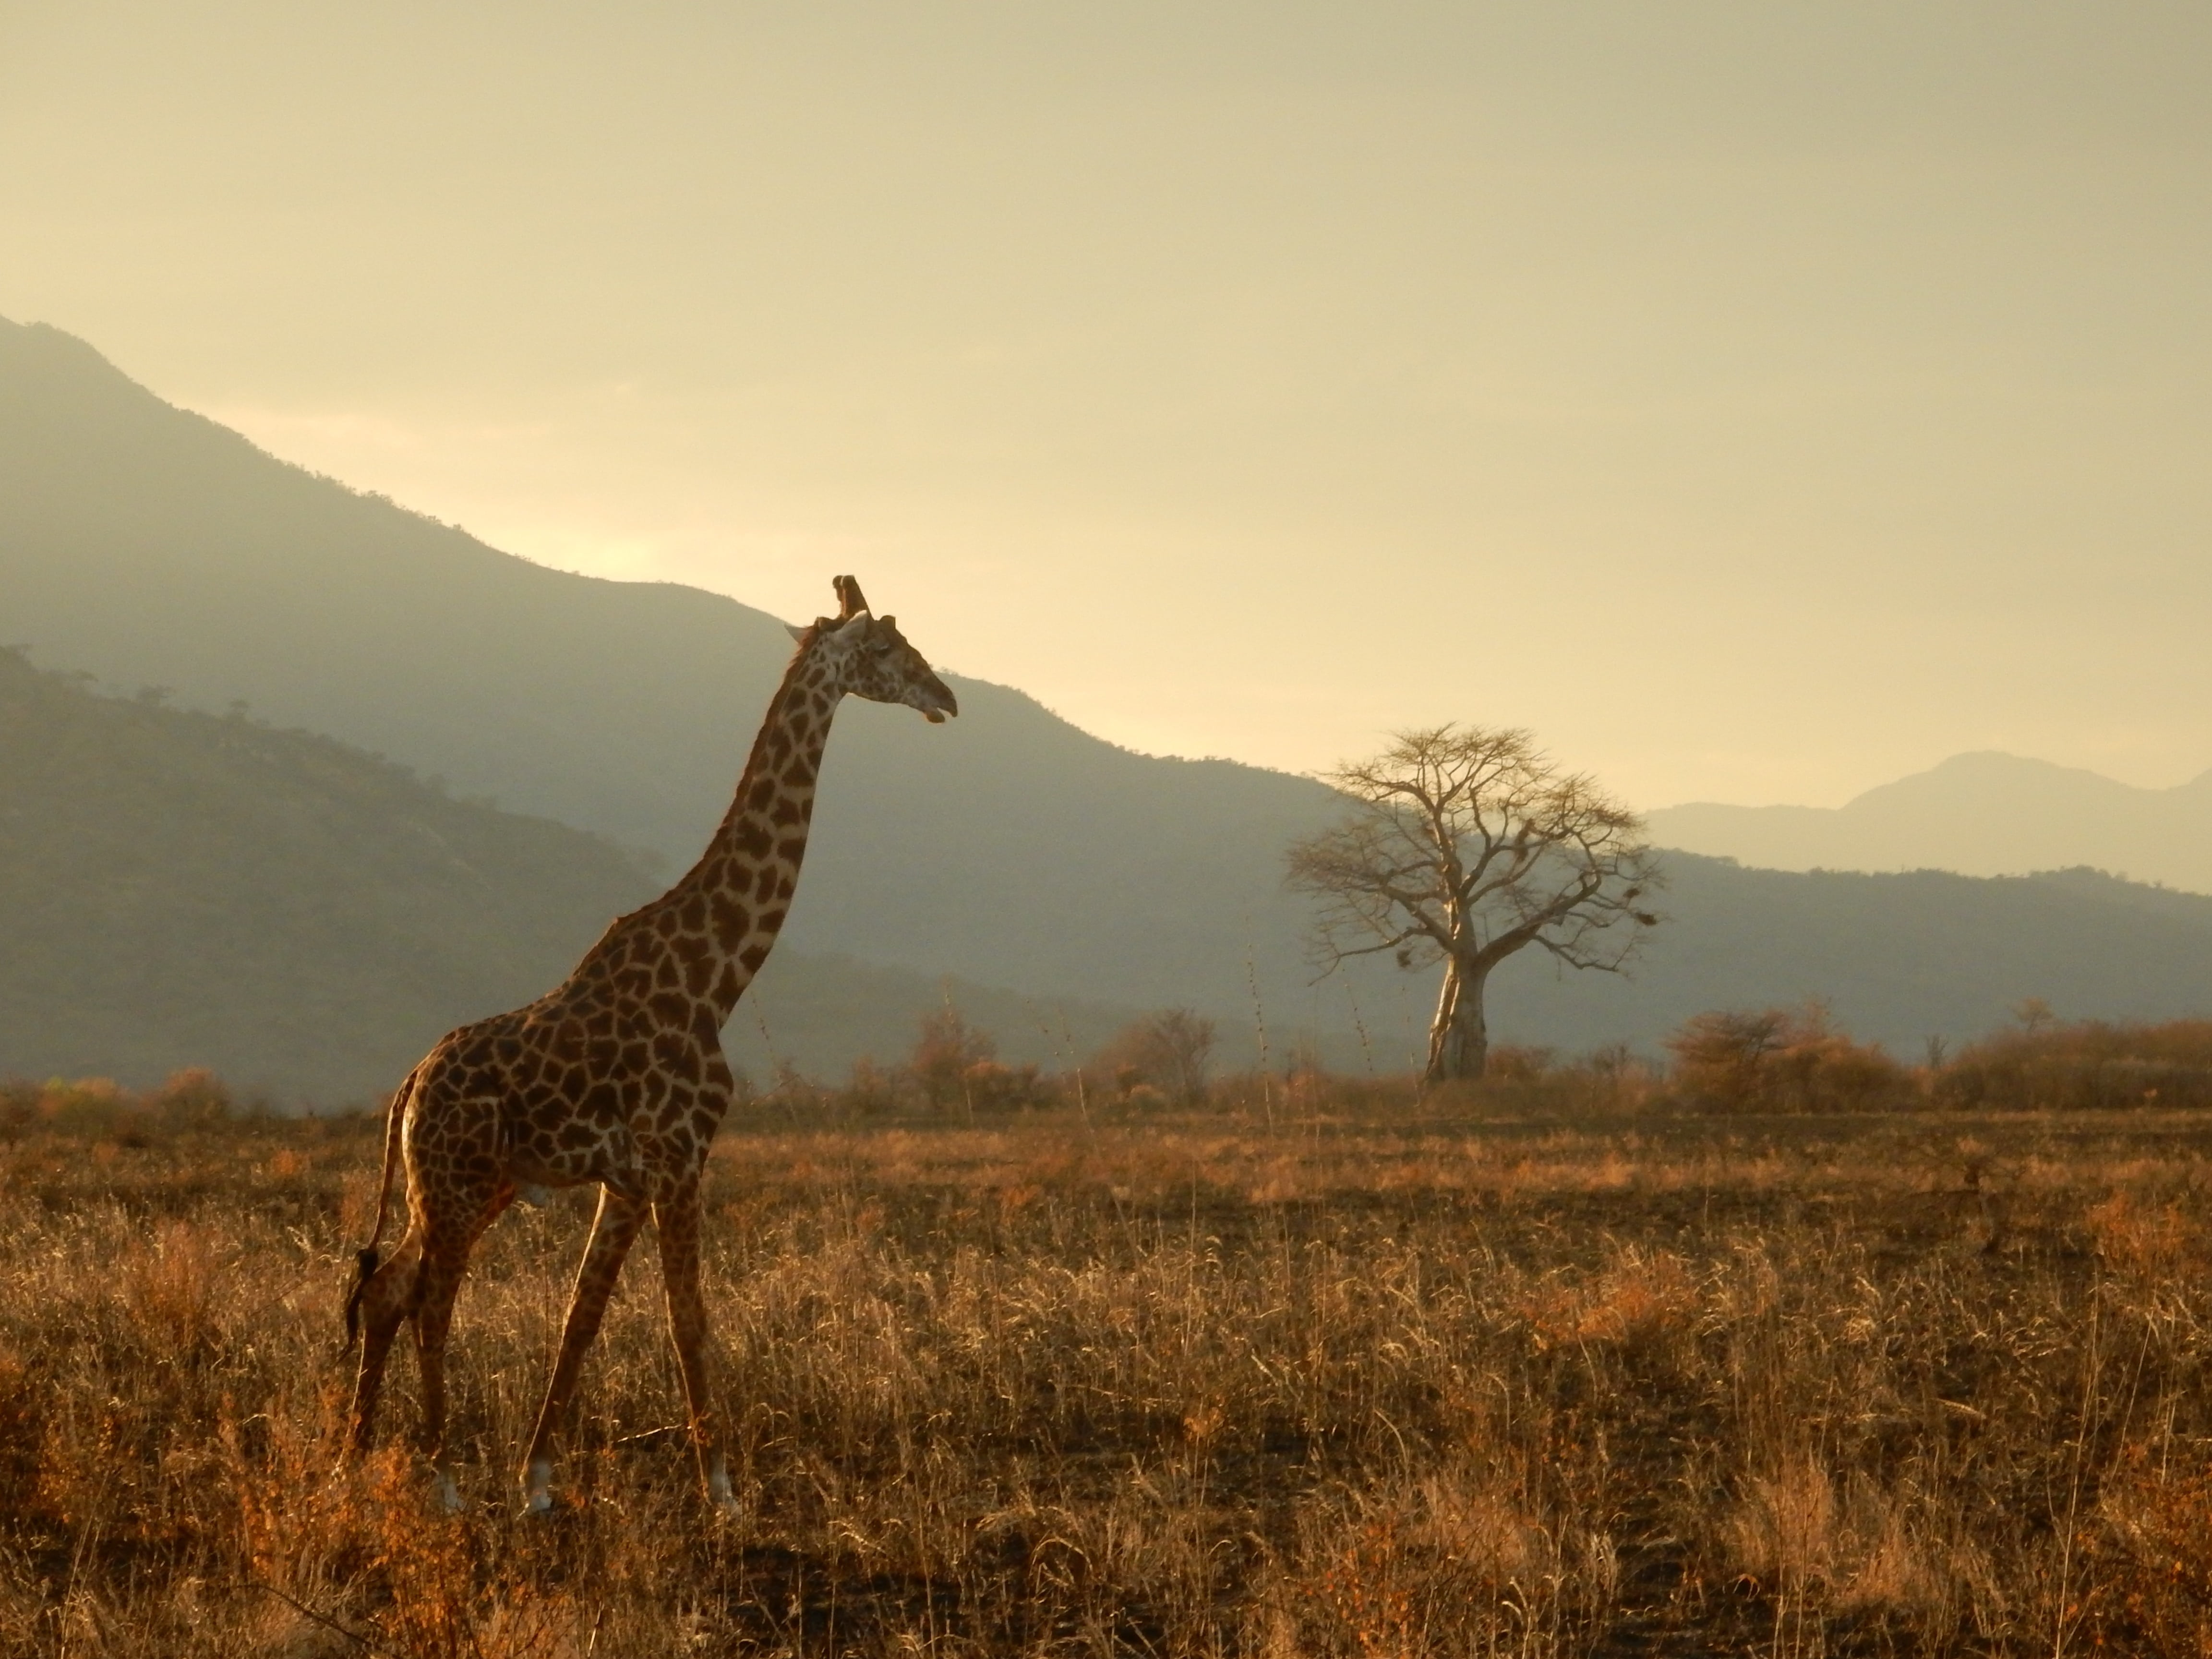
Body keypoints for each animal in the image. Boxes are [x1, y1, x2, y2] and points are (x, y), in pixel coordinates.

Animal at [341, 574, 956, 1515]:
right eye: (889, 648)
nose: (946, 697)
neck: (716, 978)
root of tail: (409, 1084)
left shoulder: (627, 1179)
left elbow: (582, 1317)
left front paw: (538, 1482)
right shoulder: (678, 1156)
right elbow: (688, 1317)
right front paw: (724, 1492)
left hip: (455, 1188)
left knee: (385, 1290)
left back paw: (350, 1464)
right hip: (455, 1186)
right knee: (431, 1300)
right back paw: (440, 1478)